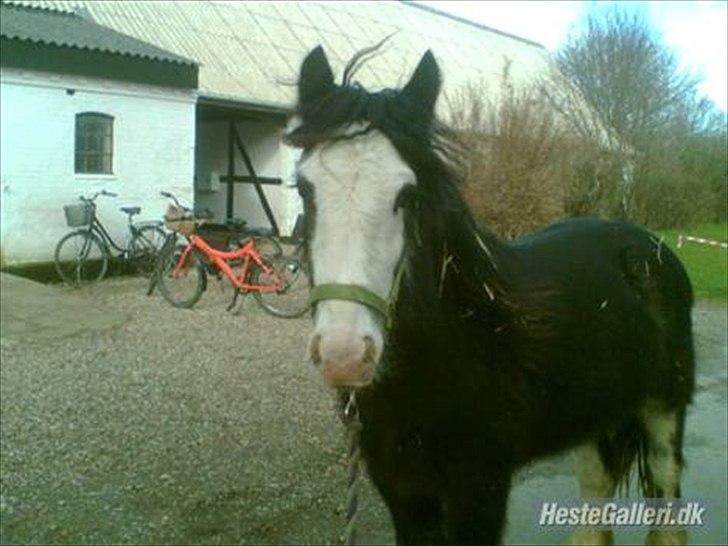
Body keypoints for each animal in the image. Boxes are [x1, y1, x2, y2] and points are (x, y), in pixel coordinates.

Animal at [284, 46, 692, 544]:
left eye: (408, 195)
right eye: (304, 190)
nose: (344, 355)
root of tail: (648, 246)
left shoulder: (481, 490)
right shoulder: (403, 492)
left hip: (664, 414)